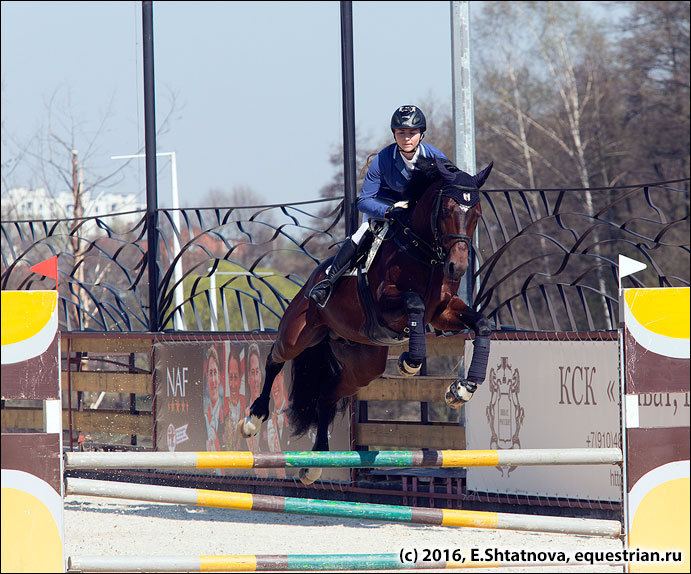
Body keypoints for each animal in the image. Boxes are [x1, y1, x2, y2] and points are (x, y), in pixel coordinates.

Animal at [241, 155, 494, 484]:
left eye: (475, 213)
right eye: (448, 210)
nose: (457, 267)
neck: (422, 252)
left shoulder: (444, 312)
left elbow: (481, 324)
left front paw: (464, 387)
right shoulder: (387, 303)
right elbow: (414, 304)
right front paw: (411, 362)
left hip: (364, 364)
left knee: (326, 394)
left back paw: (316, 462)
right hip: (299, 332)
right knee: (274, 357)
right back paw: (254, 418)